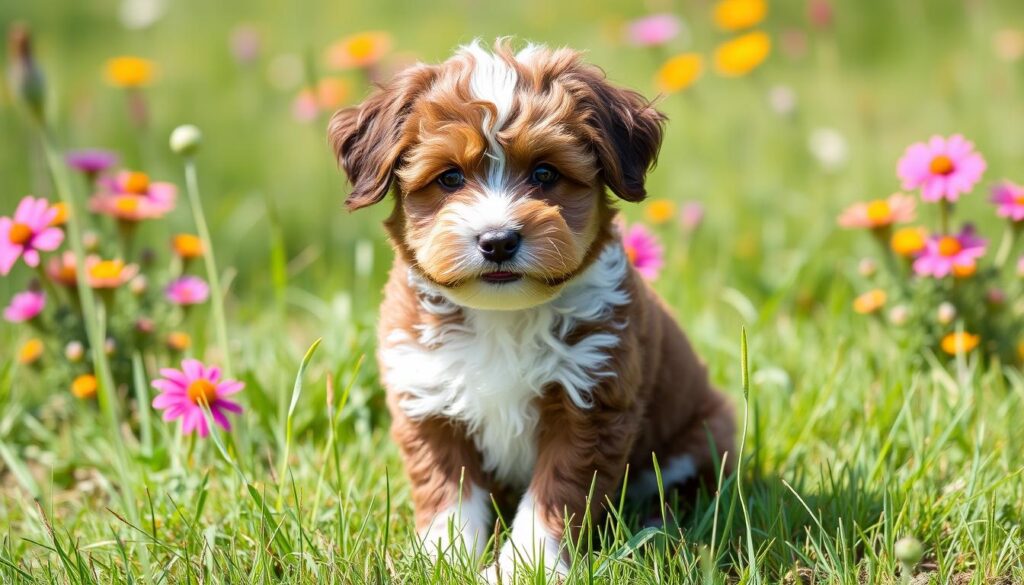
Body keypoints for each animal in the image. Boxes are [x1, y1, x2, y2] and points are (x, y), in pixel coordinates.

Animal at [323, 41, 733, 581]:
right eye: (449, 178)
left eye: (545, 174)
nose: (498, 241)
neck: (501, 316)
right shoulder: (428, 398)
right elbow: (449, 493)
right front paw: (442, 558)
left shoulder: (590, 402)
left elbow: (552, 497)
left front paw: (524, 568)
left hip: (702, 435)